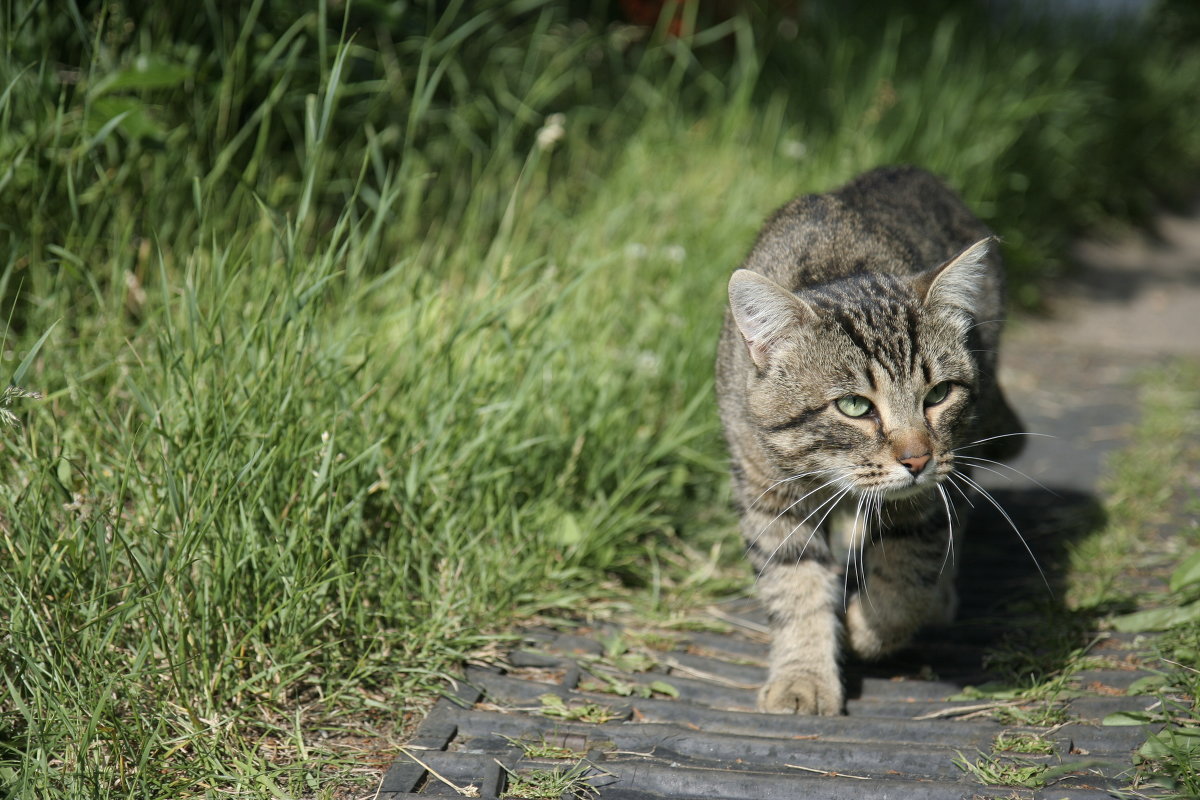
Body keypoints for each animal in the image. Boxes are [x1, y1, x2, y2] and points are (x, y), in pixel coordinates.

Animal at [715, 165, 1027, 714]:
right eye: (855, 406)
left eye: (938, 394)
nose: (917, 458)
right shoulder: (769, 494)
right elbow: (796, 587)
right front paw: (803, 677)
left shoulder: (928, 496)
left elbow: (904, 581)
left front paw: (864, 629)